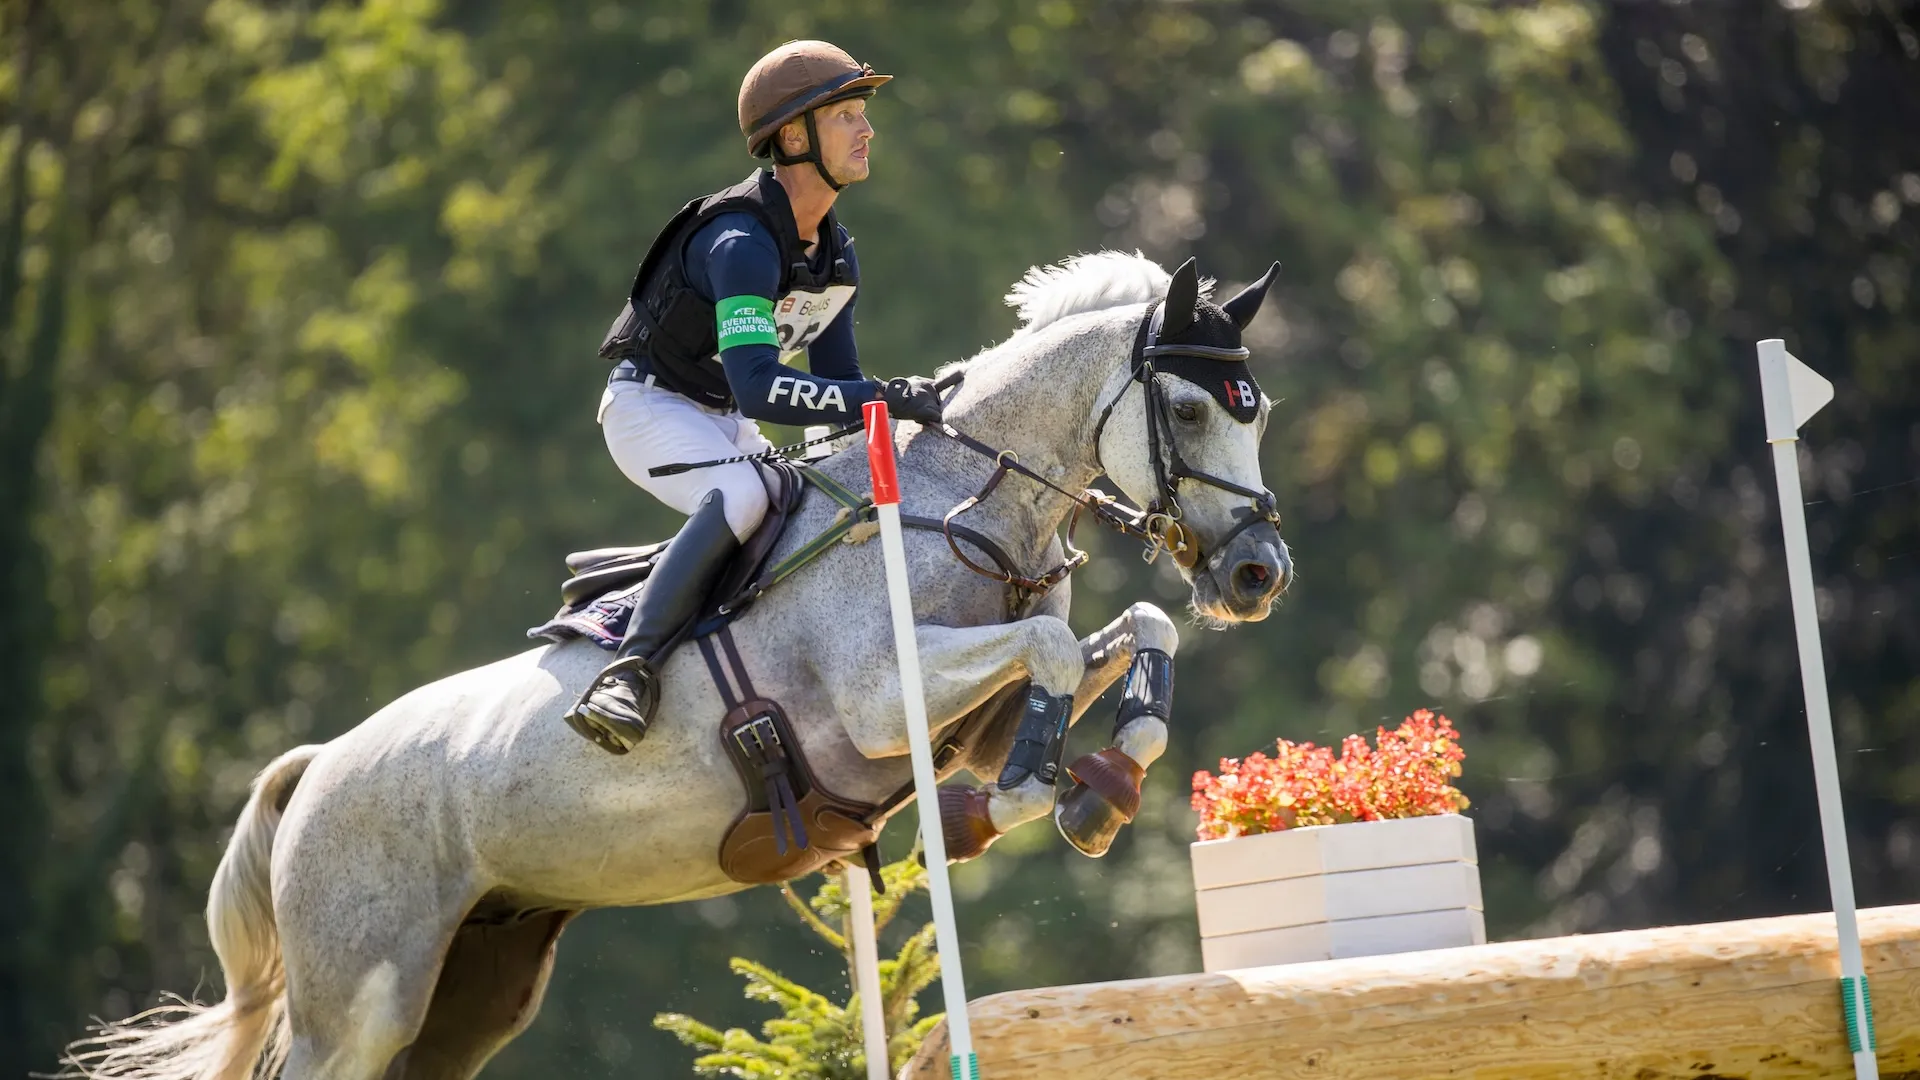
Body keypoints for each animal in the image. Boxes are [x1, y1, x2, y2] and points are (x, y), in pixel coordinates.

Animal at [61, 250, 1292, 1080]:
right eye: (1190, 407)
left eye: (1259, 409)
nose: (1257, 573)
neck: (964, 507)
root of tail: (315, 767)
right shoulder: (881, 701)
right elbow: (1048, 654)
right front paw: (1033, 792)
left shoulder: (968, 712)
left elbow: (1133, 632)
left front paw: (1101, 786)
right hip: (356, 1006)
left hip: (470, 990)